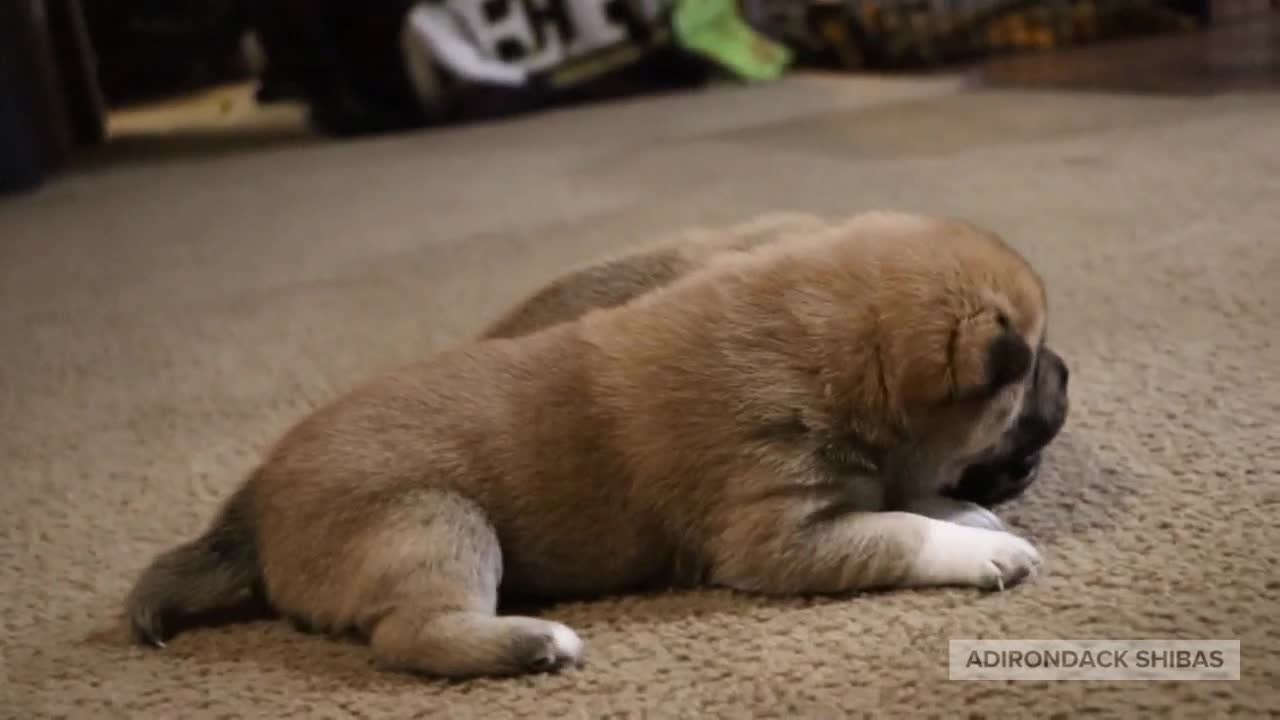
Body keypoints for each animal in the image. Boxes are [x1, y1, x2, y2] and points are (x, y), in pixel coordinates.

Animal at [127, 210, 1049, 676]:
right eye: (1034, 361)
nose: (1066, 377)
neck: (835, 345)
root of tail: (247, 511)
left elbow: (902, 497)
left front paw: (962, 509)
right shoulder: (778, 537)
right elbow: (896, 532)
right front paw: (980, 548)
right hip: (434, 524)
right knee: (409, 635)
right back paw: (532, 641)